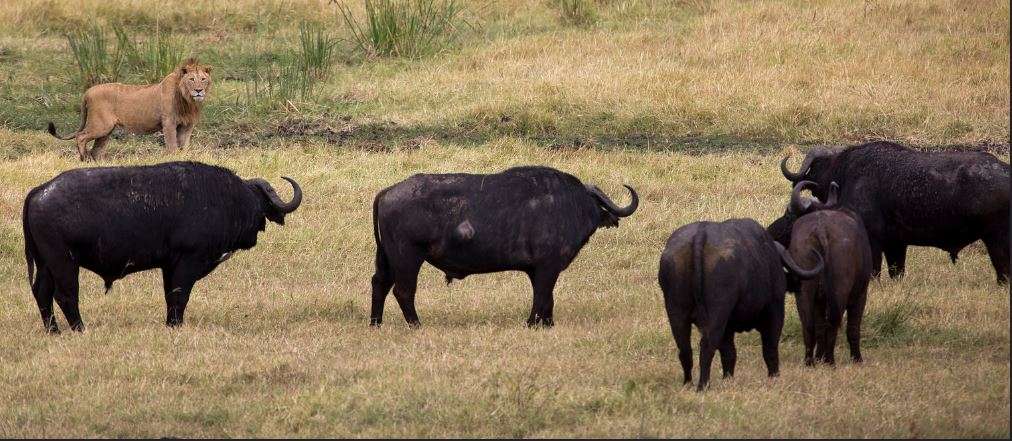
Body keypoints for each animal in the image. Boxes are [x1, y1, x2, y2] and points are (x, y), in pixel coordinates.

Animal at [22, 161, 302, 332]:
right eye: (258, 201)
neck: (222, 198)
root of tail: (39, 191)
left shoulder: (169, 265)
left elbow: (170, 296)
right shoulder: (188, 262)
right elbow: (180, 295)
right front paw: (176, 325)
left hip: (46, 265)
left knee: (42, 293)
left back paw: (54, 331)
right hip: (63, 262)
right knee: (66, 295)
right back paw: (80, 329)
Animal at [370, 166, 638, 327]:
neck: (568, 205)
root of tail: (387, 192)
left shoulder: (536, 271)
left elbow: (546, 298)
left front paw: (546, 324)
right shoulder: (547, 268)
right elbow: (543, 296)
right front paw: (534, 324)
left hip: (387, 258)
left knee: (379, 284)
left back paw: (376, 323)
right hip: (407, 257)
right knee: (403, 291)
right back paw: (416, 325)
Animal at [658, 218, 823, 391]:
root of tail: (700, 234)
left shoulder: (728, 327)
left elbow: (729, 353)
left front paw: (728, 378)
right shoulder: (775, 311)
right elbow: (770, 348)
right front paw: (774, 376)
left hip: (677, 313)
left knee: (685, 349)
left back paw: (688, 383)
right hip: (717, 314)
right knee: (707, 346)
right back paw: (703, 385)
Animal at [776, 181, 874, 365]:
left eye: (788, 215)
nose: (771, 231)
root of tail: (821, 230)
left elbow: (819, 327)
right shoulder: (860, 294)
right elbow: (853, 328)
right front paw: (857, 358)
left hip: (805, 289)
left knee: (809, 324)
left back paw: (810, 361)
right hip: (840, 289)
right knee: (834, 321)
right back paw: (830, 360)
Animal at [780, 141, 1009, 283]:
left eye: (815, 168)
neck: (848, 174)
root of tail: (1005, 170)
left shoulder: (874, 241)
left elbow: (874, 271)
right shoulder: (896, 245)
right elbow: (897, 272)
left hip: (996, 240)